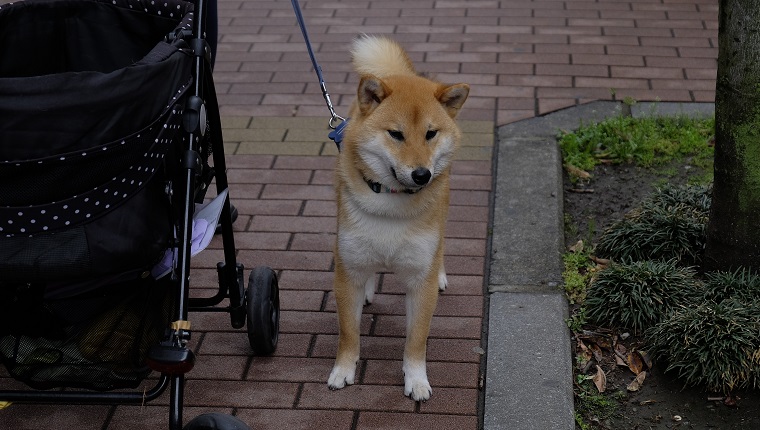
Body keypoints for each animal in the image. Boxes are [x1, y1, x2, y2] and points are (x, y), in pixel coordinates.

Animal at [328, 35, 470, 402]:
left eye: (431, 134)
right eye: (396, 134)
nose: (422, 174)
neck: (391, 204)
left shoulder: (420, 281)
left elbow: (416, 340)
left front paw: (416, 380)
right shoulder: (347, 270)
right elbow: (349, 333)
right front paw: (343, 370)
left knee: (441, 244)